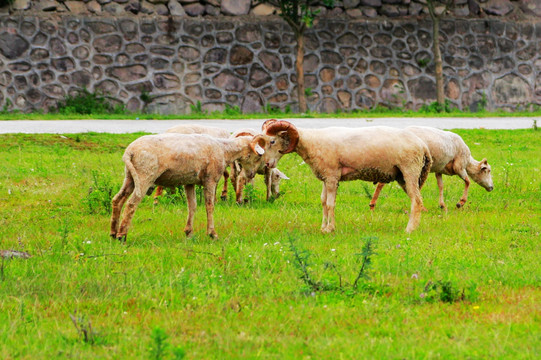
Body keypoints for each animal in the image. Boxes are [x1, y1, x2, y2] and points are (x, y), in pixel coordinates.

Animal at [108, 131, 274, 240]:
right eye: (258, 156)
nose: (251, 175)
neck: (224, 150)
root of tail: (129, 152)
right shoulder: (210, 179)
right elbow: (209, 206)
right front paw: (212, 234)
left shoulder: (189, 182)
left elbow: (192, 206)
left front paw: (189, 232)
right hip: (144, 175)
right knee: (131, 203)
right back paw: (122, 235)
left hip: (130, 177)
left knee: (117, 200)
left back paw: (113, 233)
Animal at [262, 120, 430, 233]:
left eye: (272, 141)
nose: (267, 164)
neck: (310, 142)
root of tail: (423, 145)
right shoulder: (326, 177)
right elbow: (323, 202)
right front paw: (323, 228)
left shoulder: (332, 177)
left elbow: (331, 204)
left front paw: (330, 228)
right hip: (402, 176)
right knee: (418, 200)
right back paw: (415, 227)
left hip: (410, 170)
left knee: (416, 201)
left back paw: (409, 230)